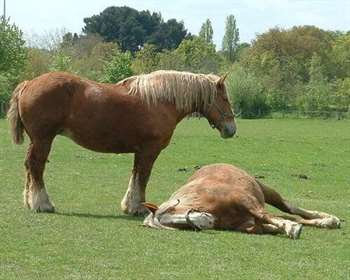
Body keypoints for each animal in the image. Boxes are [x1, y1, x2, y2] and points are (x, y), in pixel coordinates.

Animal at [6, 70, 237, 214]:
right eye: (225, 98)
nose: (231, 129)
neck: (160, 101)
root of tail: (29, 83)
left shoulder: (140, 151)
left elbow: (135, 176)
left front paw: (129, 205)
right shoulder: (149, 150)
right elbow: (143, 177)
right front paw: (138, 207)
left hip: (37, 141)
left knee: (29, 167)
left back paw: (30, 202)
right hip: (43, 139)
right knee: (36, 166)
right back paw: (42, 204)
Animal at [142, 164, 340, 238]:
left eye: (172, 210)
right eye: (176, 226)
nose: (205, 221)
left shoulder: (247, 200)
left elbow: (269, 217)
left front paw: (292, 229)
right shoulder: (247, 223)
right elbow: (264, 225)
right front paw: (283, 227)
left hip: (266, 191)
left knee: (290, 209)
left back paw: (328, 218)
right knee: (290, 216)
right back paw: (326, 222)